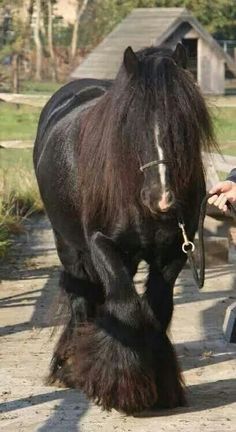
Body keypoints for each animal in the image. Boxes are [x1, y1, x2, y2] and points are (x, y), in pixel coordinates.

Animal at [34, 44, 217, 416]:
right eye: (130, 123)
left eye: (185, 123)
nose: (161, 198)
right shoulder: (101, 245)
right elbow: (127, 308)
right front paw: (123, 387)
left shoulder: (173, 255)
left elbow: (156, 309)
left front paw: (161, 384)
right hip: (70, 248)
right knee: (81, 299)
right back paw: (71, 368)